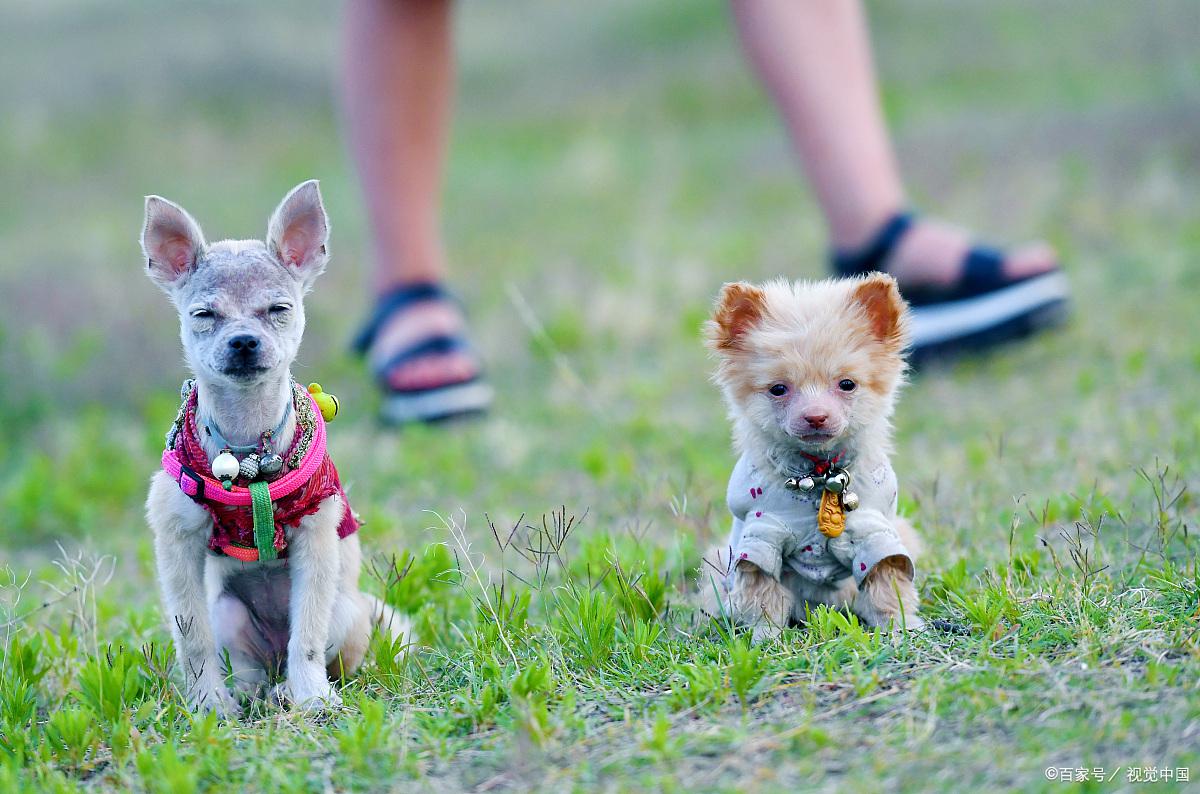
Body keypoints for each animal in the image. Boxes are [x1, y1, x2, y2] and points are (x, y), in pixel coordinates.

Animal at [142, 182, 408, 714]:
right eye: (204, 315)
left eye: (278, 310)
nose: (244, 341)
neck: (246, 444)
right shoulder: (176, 542)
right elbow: (193, 640)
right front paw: (208, 705)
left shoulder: (315, 538)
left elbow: (306, 635)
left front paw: (313, 699)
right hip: (228, 612)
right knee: (248, 662)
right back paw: (249, 691)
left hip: (346, 612)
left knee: (313, 652)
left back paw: (291, 688)